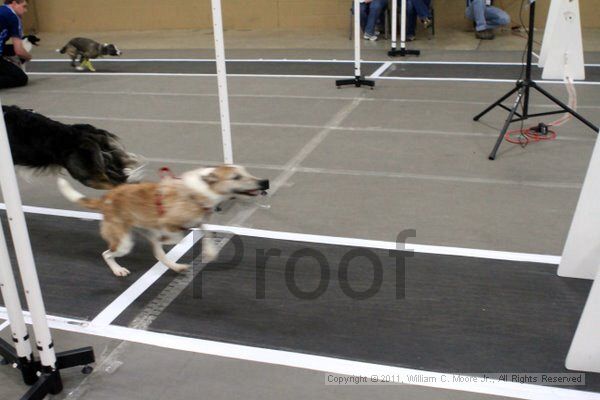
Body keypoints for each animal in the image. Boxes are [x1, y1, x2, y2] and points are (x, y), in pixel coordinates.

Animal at [58, 165, 270, 276]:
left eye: (246, 172)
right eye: (236, 177)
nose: (264, 182)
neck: (199, 191)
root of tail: (106, 199)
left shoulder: (199, 220)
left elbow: (206, 231)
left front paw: (210, 252)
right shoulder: (170, 223)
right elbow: (179, 235)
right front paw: (169, 239)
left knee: (157, 253)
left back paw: (175, 266)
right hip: (124, 242)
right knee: (107, 253)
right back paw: (118, 270)